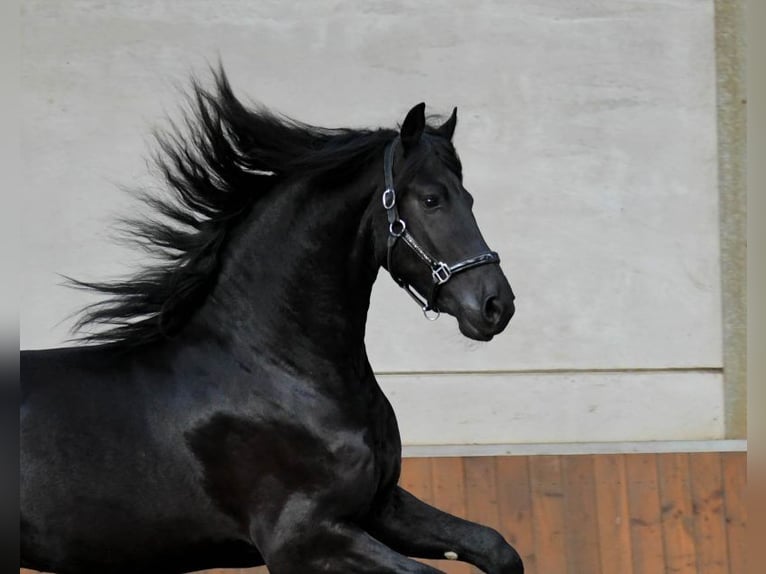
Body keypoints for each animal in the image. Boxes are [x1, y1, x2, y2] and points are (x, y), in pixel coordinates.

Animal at [20, 68, 520, 574]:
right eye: (432, 199)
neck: (277, 369)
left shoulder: (380, 507)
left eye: (470, 198)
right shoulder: (301, 539)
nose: (496, 305)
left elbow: (497, 547)